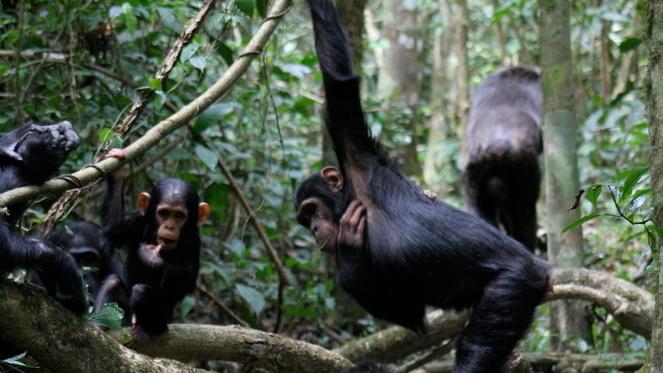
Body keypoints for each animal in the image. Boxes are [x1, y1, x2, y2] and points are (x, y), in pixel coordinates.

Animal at [96, 150, 208, 342]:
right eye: (164, 213)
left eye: (179, 216)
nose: (169, 227)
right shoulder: (137, 221)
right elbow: (112, 230)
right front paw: (117, 173)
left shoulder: (193, 242)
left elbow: (185, 277)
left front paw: (152, 257)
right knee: (112, 283)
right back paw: (99, 323)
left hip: (162, 319)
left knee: (141, 291)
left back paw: (145, 330)